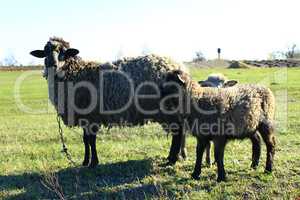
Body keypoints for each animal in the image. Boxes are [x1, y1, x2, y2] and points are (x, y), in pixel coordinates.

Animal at [28, 37, 188, 167]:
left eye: (63, 51)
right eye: (45, 52)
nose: (52, 64)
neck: (76, 73)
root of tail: (179, 67)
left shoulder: (92, 116)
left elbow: (91, 140)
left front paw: (93, 162)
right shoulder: (85, 117)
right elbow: (85, 139)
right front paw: (85, 162)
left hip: (168, 108)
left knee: (178, 132)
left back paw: (172, 159)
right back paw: (173, 157)